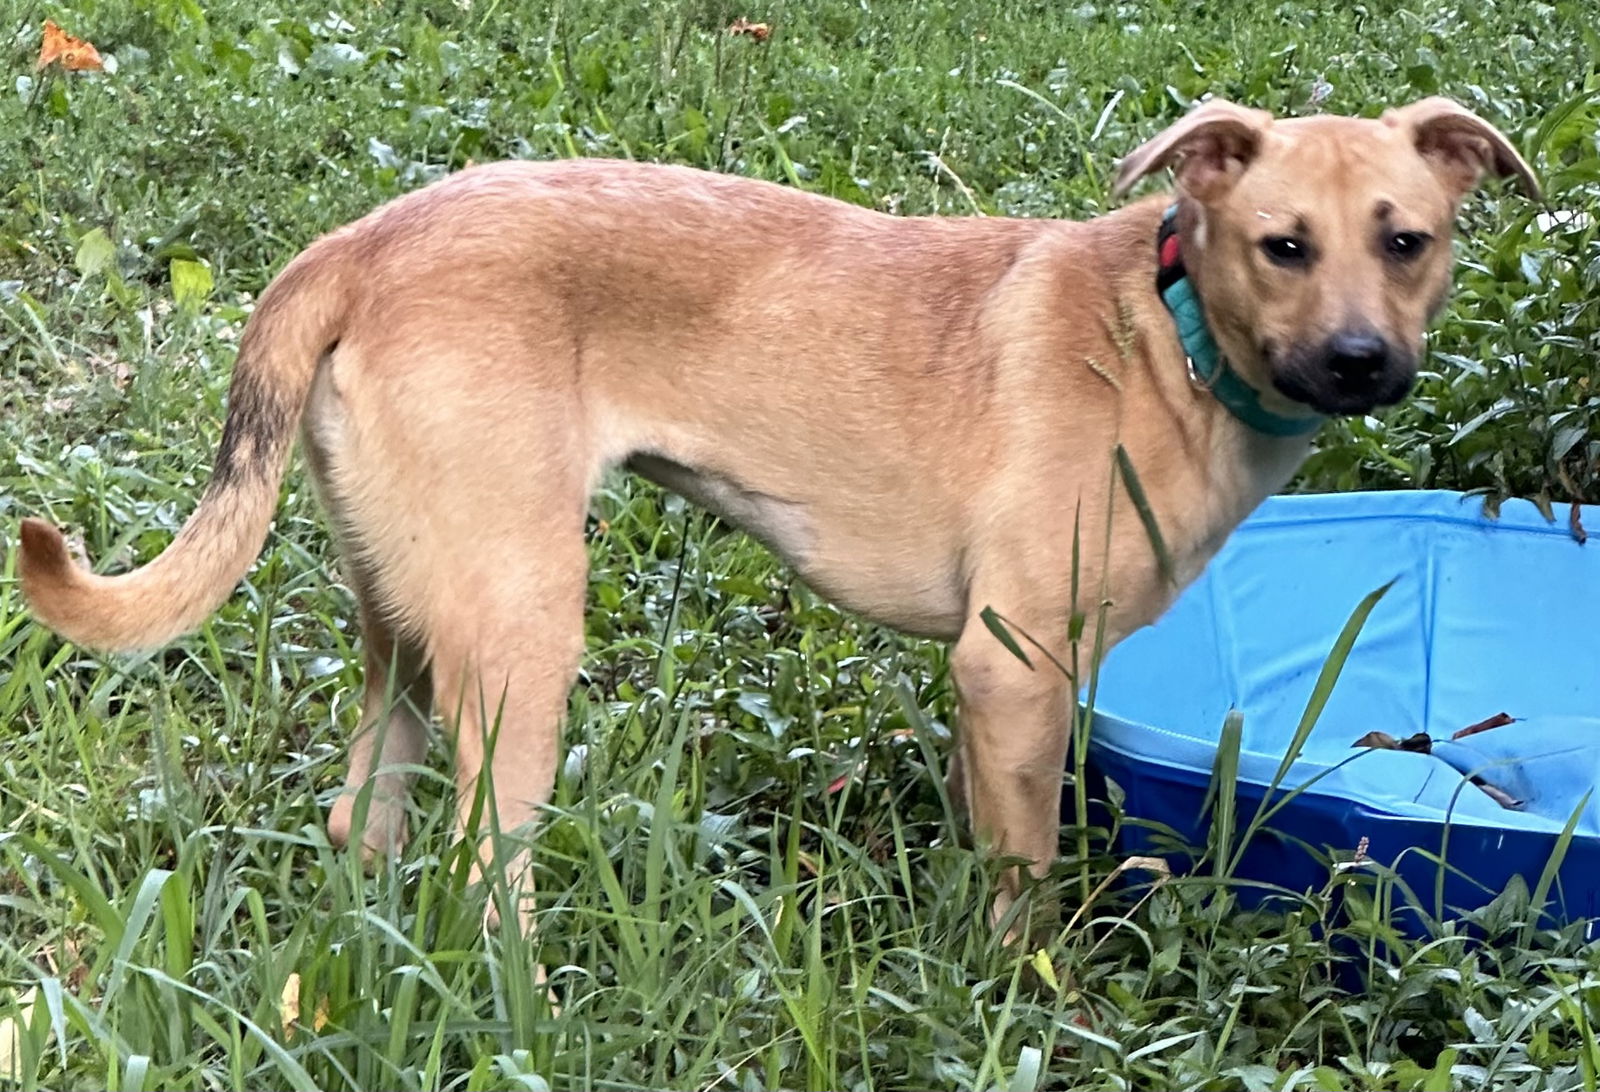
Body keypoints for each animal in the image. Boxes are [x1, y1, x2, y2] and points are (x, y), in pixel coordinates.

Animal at [15, 95, 1536, 928]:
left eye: (1408, 242)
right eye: (1284, 247)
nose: (1363, 364)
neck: (1169, 331)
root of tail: (360, 241)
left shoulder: (1007, 691)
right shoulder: (1014, 669)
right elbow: (1025, 892)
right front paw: (1023, 1005)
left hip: (402, 614)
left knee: (366, 821)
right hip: (523, 640)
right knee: (483, 869)